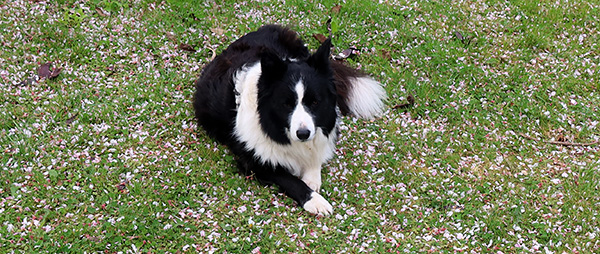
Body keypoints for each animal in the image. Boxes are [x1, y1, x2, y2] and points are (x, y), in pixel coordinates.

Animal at [195, 25, 386, 214]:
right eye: (287, 104)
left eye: (315, 102)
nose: (303, 134)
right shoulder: (254, 161)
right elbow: (289, 179)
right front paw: (314, 200)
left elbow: (315, 156)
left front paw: (311, 179)